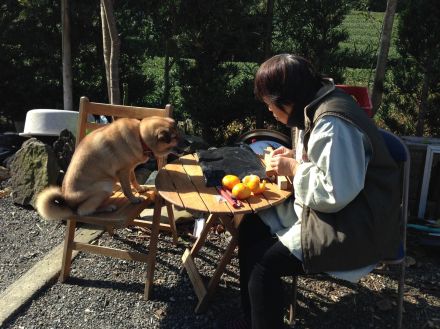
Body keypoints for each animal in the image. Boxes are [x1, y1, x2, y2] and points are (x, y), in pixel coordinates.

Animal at [36, 115, 180, 220]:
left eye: (179, 134)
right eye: (174, 138)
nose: (186, 144)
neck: (139, 135)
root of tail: (67, 202)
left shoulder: (129, 169)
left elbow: (133, 180)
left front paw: (139, 189)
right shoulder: (123, 172)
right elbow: (127, 189)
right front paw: (134, 199)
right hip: (105, 185)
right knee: (84, 211)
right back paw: (106, 208)